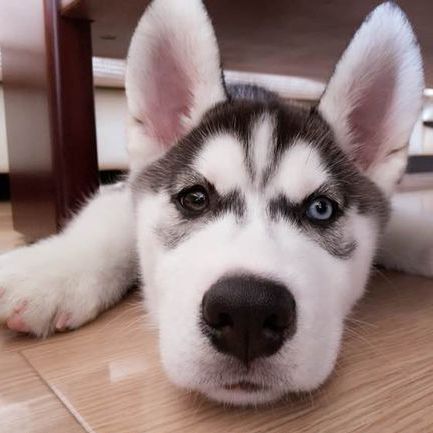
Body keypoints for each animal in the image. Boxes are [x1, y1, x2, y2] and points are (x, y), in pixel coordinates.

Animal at [0, 0, 431, 406]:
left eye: (320, 209)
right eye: (195, 198)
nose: (248, 311)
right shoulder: (123, 189)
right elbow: (109, 220)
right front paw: (48, 272)